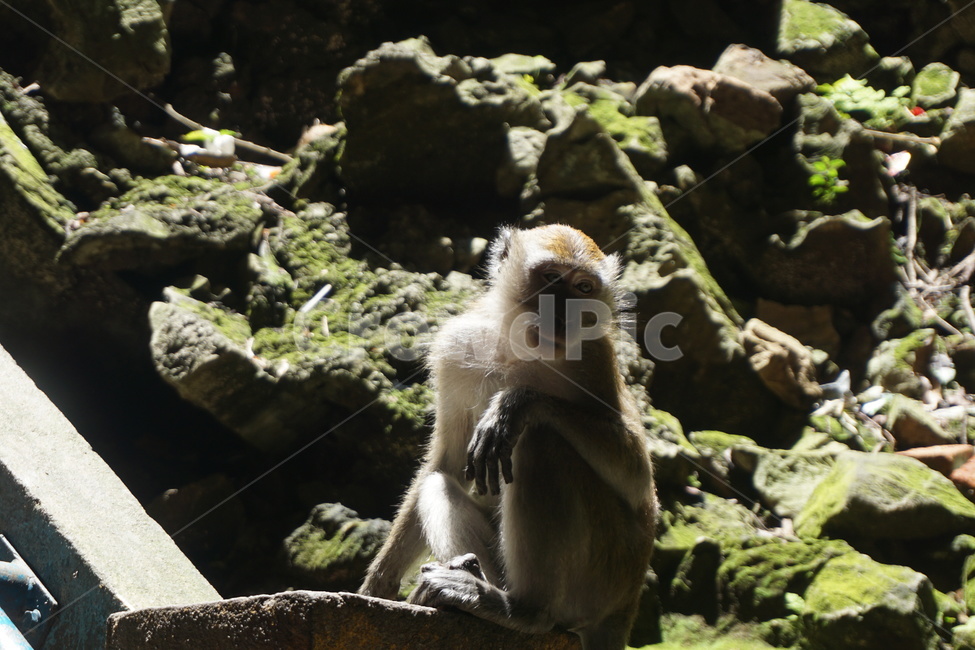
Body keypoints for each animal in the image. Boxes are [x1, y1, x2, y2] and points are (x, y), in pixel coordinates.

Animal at [359, 224, 657, 650]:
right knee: (440, 482)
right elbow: (446, 462)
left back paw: (524, 611)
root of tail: (626, 607)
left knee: (540, 443)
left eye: (583, 287)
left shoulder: (595, 357)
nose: (562, 314)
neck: (521, 346)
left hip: (607, 571)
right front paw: (377, 584)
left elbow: (637, 481)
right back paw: (471, 579)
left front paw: (516, 404)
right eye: (551, 277)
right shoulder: (456, 348)